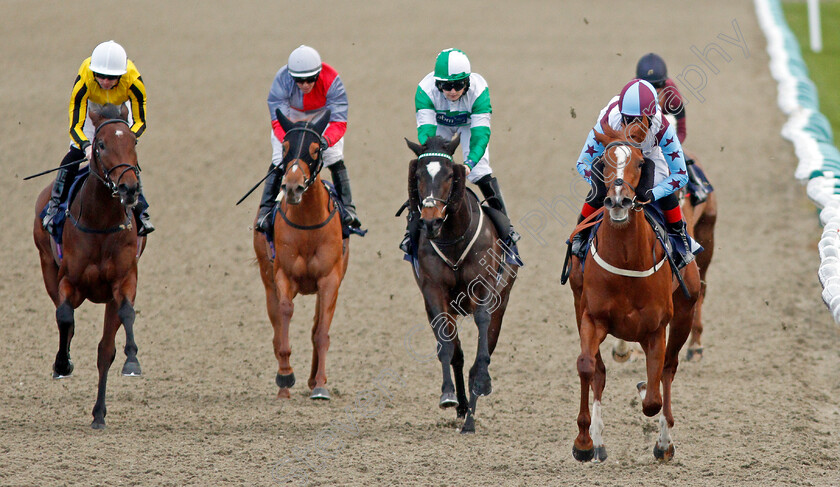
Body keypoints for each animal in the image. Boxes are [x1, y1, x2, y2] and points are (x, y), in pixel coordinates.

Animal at [33, 104, 146, 430]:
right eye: (102, 145)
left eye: (133, 142)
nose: (129, 188)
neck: (101, 223)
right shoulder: (68, 281)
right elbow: (64, 316)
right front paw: (62, 363)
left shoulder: (124, 281)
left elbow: (126, 315)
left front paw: (132, 361)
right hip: (47, 266)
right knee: (64, 317)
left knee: (104, 350)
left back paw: (98, 413)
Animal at [254, 109, 350, 400]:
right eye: (285, 147)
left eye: (316, 148)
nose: (293, 187)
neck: (308, 224)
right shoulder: (283, 276)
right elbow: (285, 313)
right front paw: (285, 377)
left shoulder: (330, 280)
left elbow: (321, 333)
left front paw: (320, 385)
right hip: (267, 279)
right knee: (276, 325)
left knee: (317, 326)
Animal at [404, 134, 516, 434]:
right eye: (418, 176)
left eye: (448, 175)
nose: (430, 221)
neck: (453, 238)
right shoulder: (434, 292)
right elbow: (447, 347)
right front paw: (448, 395)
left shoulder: (485, 287)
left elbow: (482, 335)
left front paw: (482, 383)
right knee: (457, 352)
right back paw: (463, 408)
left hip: (502, 300)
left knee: (484, 347)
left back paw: (471, 414)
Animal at [572, 121, 704, 462]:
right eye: (602, 163)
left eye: (641, 164)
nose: (618, 201)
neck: (626, 260)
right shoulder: (591, 317)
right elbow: (588, 366)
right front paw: (584, 442)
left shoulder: (655, 329)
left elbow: (653, 398)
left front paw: (647, 391)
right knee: (601, 371)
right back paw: (598, 441)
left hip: (684, 314)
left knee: (668, 370)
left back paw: (664, 442)